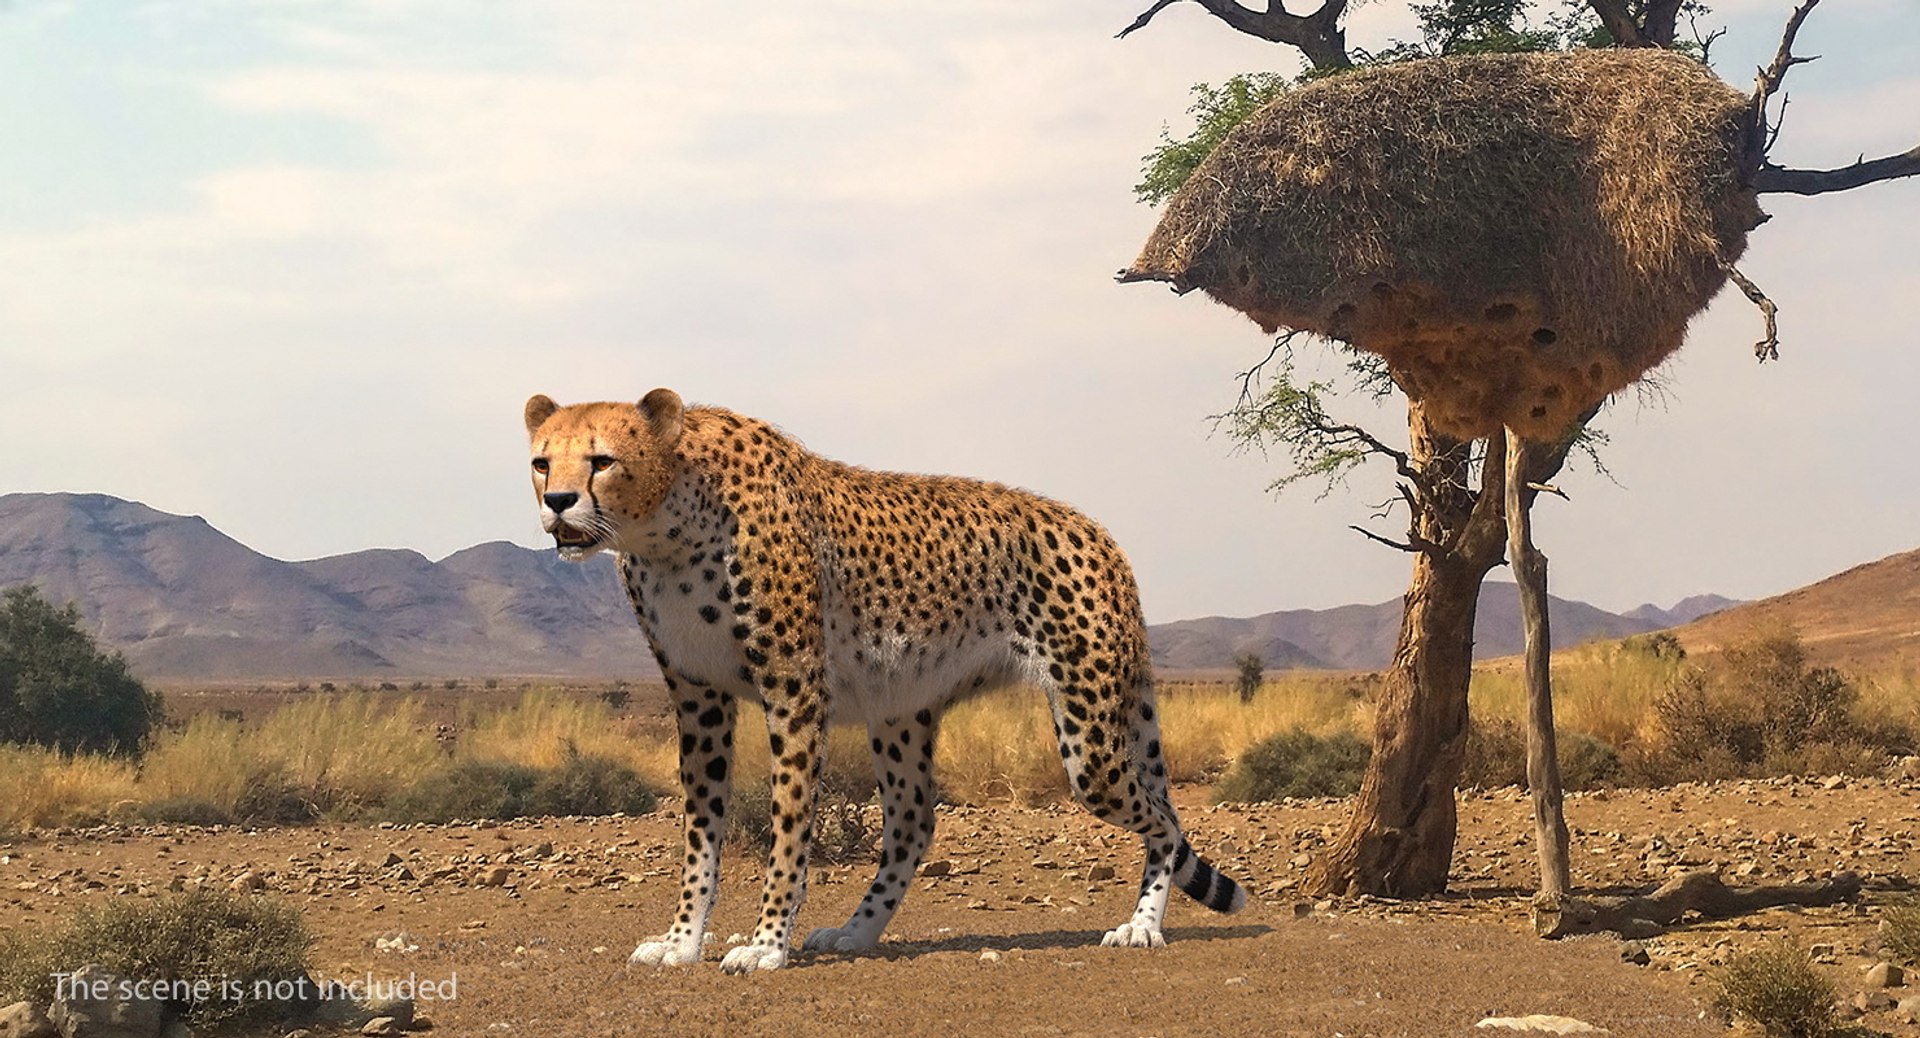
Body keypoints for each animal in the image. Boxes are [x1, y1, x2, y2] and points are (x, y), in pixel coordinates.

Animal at [523, 389, 1247, 974]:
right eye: (541, 462)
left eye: (601, 460)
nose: (558, 503)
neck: (664, 525)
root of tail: (1098, 531)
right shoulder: (698, 696)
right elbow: (701, 834)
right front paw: (682, 942)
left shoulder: (794, 689)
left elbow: (789, 825)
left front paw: (765, 944)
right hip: (901, 710)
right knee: (914, 823)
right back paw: (858, 930)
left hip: (1089, 741)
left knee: (1164, 819)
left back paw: (1142, 925)